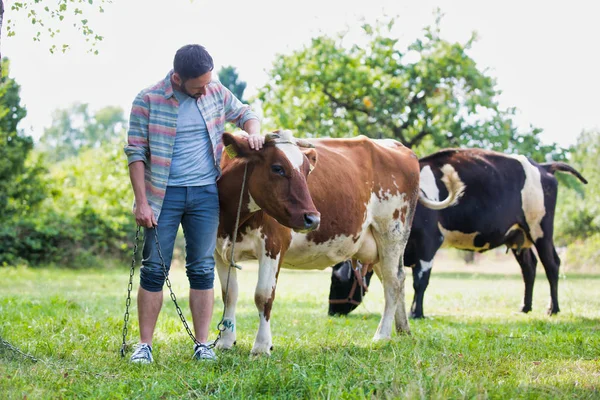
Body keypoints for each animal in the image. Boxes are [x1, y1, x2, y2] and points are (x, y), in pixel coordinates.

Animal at [216, 130, 464, 354]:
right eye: (277, 168)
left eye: (307, 171)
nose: (313, 218)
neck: (233, 221)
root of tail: (398, 147)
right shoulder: (218, 251)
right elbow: (229, 294)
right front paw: (225, 341)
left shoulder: (273, 245)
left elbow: (263, 296)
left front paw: (261, 346)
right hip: (380, 248)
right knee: (397, 279)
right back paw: (403, 330)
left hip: (392, 233)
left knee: (393, 283)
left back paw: (382, 335)